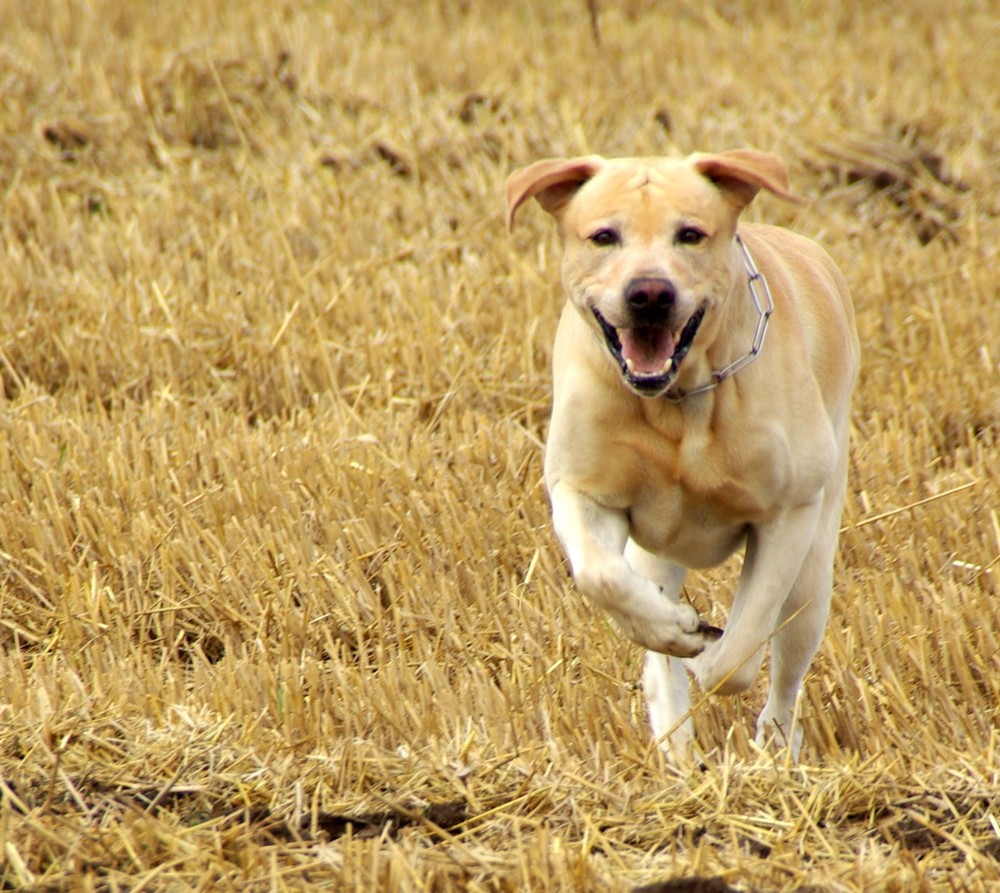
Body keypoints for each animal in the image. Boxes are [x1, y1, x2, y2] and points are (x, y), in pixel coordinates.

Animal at [508, 148, 860, 760]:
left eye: (691, 234)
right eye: (604, 236)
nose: (649, 293)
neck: (678, 402)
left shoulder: (787, 515)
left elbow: (738, 654)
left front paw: (708, 651)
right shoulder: (581, 491)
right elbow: (602, 576)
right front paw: (674, 630)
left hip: (813, 570)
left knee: (785, 667)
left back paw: (775, 742)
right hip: (660, 553)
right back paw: (675, 742)